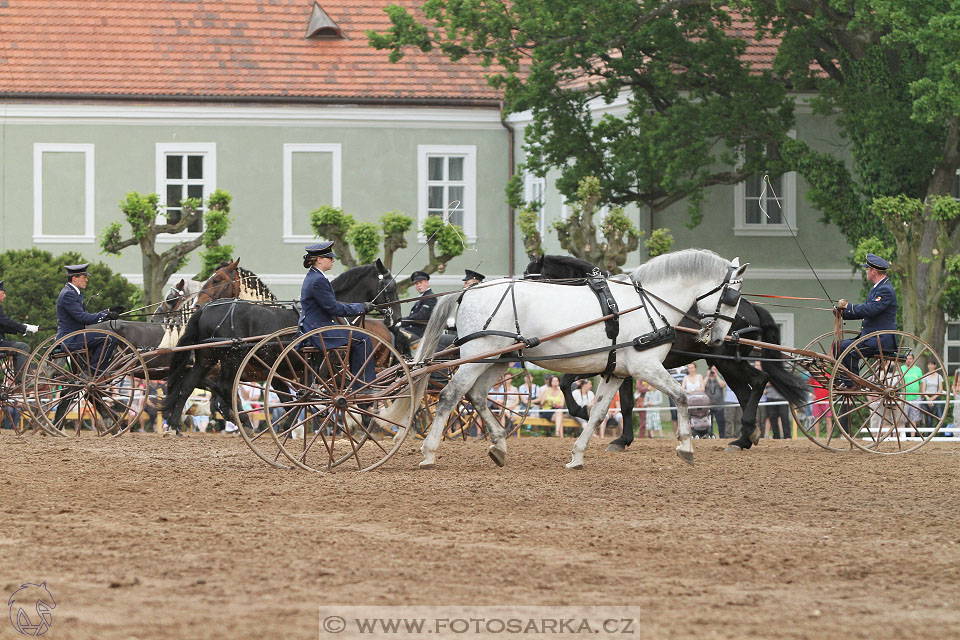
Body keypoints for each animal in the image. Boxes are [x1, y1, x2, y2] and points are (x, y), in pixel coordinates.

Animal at [394, 250, 748, 470]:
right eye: (733, 298)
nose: (720, 337)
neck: (647, 302)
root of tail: (470, 291)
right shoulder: (644, 366)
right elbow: (682, 396)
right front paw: (686, 448)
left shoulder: (616, 372)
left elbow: (599, 413)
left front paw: (577, 456)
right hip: (477, 357)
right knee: (450, 395)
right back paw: (429, 453)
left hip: (498, 359)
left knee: (477, 396)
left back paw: (498, 446)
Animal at [524, 254, 808, 450]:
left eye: (532, 278)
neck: (606, 305)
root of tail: (749, 307)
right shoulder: (618, 365)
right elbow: (622, 402)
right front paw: (621, 436)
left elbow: (569, 384)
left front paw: (594, 420)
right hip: (725, 363)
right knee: (746, 391)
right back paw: (746, 437)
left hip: (727, 362)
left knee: (759, 381)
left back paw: (745, 436)